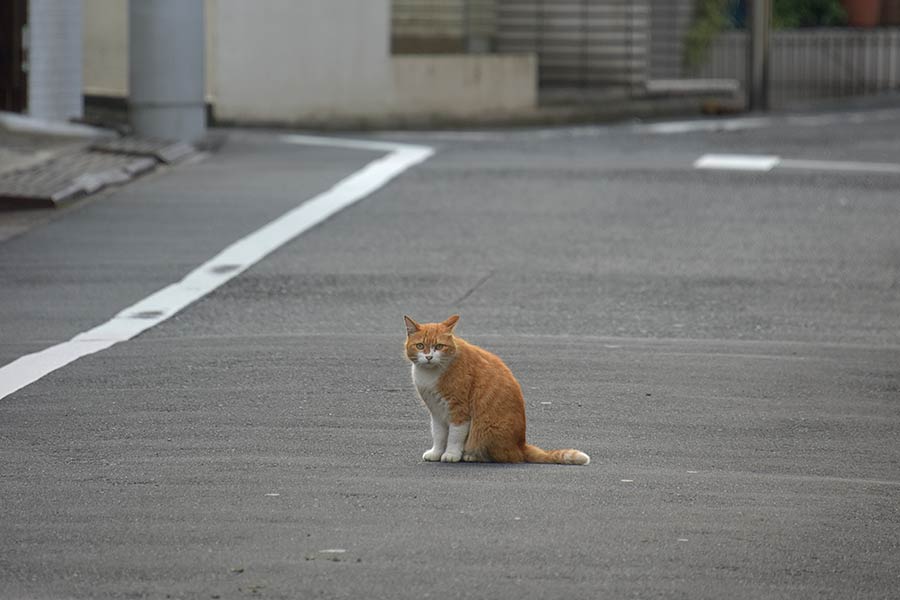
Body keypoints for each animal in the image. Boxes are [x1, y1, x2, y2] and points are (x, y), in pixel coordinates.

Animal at [402, 316, 592, 466]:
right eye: (420, 346)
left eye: (439, 346)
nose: (429, 357)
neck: (431, 373)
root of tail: (520, 444)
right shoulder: (437, 412)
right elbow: (439, 435)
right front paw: (436, 452)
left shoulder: (459, 410)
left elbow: (455, 436)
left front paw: (451, 454)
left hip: (484, 430)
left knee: (504, 456)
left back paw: (470, 455)